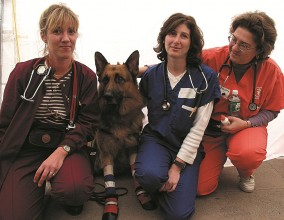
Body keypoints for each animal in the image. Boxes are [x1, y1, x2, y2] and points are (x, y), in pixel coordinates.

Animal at [93, 50, 155, 219]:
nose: (107, 96)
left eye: (120, 79)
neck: (118, 118)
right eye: (105, 80)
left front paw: (143, 195)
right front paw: (110, 205)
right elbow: (109, 182)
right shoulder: (106, 153)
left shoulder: (132, 148)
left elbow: (135, 174)